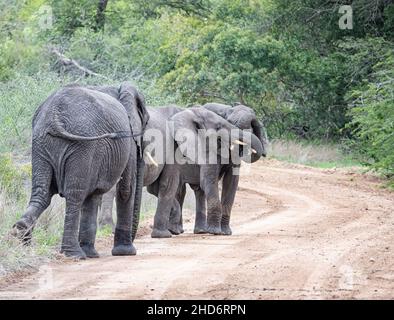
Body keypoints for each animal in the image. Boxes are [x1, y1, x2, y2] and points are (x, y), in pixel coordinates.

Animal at [13, 83, 149, 260]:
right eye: (146, 122)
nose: (134, 240)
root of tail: (54, 116)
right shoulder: (127, 139)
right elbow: (126, 189)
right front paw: (125, 253)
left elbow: (94, 196)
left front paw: (92, 254)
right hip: (82, 145)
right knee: (75, 195)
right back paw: (74, 254)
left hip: (41, 143)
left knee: (41, 193)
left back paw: (21, 233)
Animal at [149, 107, 266, 238]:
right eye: (219, 127)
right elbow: (209, 180)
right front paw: (215, 232)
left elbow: (231, 182)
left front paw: (225, 233)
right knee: (180, 189)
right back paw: (176, 231)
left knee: (197, 191)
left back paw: (198, 231)